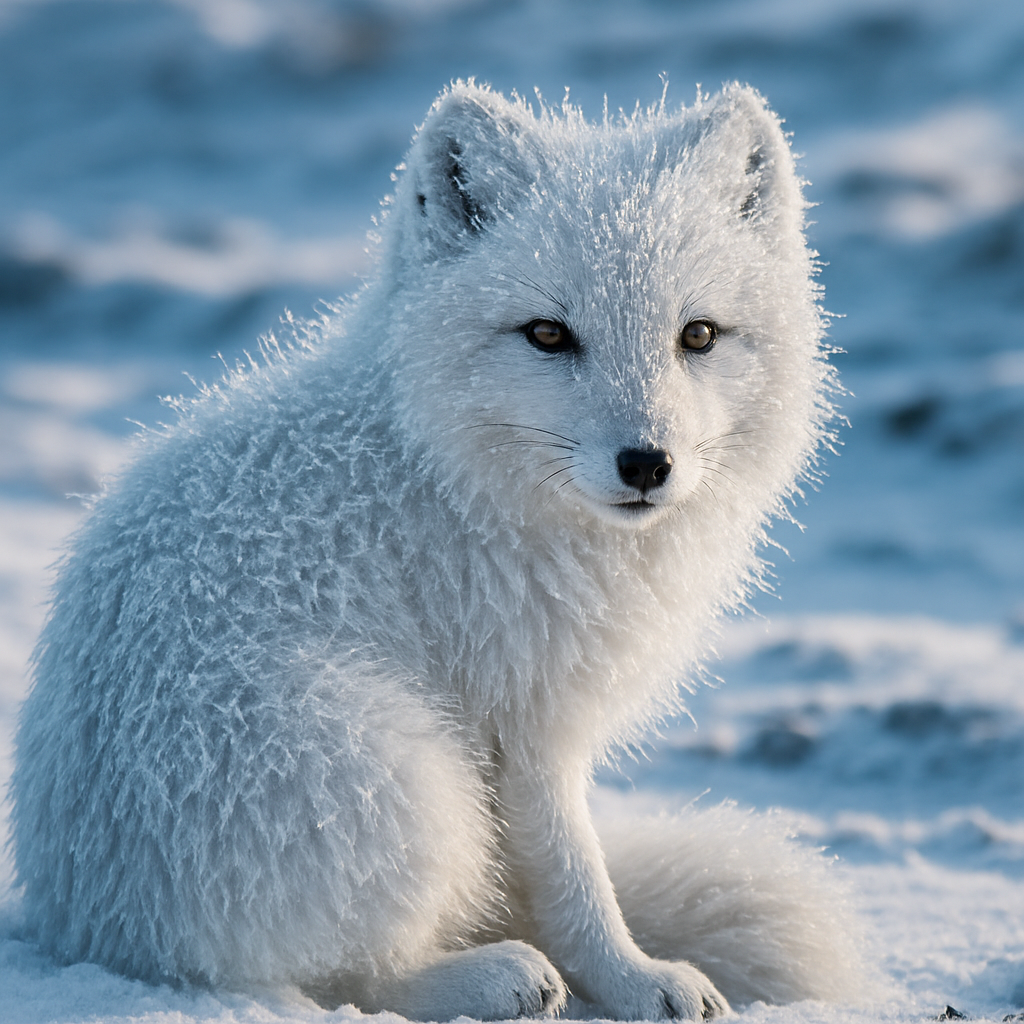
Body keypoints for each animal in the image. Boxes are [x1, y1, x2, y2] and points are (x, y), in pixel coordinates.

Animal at [9, 82, 864, 1021]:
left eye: (699, 336)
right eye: (548, 335)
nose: (647, 463)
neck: (440, 461)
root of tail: (100, 927)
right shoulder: (525, 720)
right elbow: (576, 881)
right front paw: (635, 981)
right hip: (402, 771)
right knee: (347, 979)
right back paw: (500, 977)